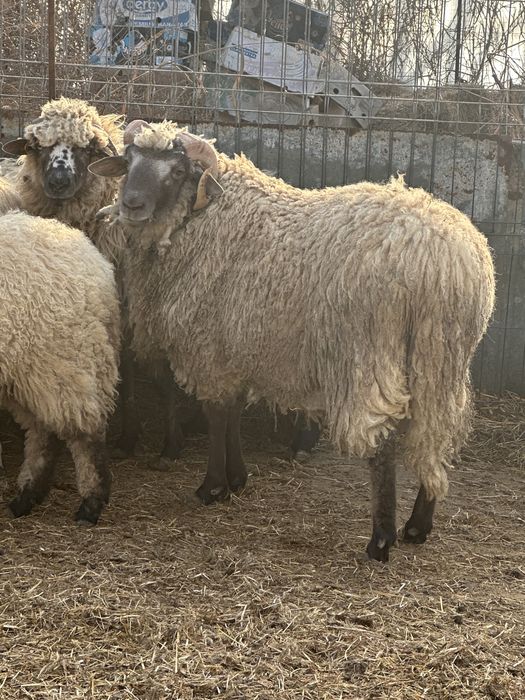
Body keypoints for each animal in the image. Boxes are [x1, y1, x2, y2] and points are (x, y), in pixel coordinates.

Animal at [0, 209, 120, 523]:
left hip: (62, 358)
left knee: (85, 432)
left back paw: (90, 503)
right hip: (28, 371)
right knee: (41, 430)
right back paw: (27, 495)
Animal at [2, 98, 187, 464]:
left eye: (87, 149)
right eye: (35, 147)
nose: (59, 182)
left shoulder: (129, 308)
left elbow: (135, 370)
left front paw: (154, 441)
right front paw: (129, 436)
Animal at [89, 119, 495, 561]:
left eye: (177, 172)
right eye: (129, 161)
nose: (131, 205)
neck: (202, 219)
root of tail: (445, 262)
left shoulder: (208, 343)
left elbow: (216, 414)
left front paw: (212, 486)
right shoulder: (236, 343)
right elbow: (232, 412)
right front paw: (236, 478)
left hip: (370, 351)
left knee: (383, 441)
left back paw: (381, 538)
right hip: (441, 357)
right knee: (435, 435)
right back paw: (419, 524)